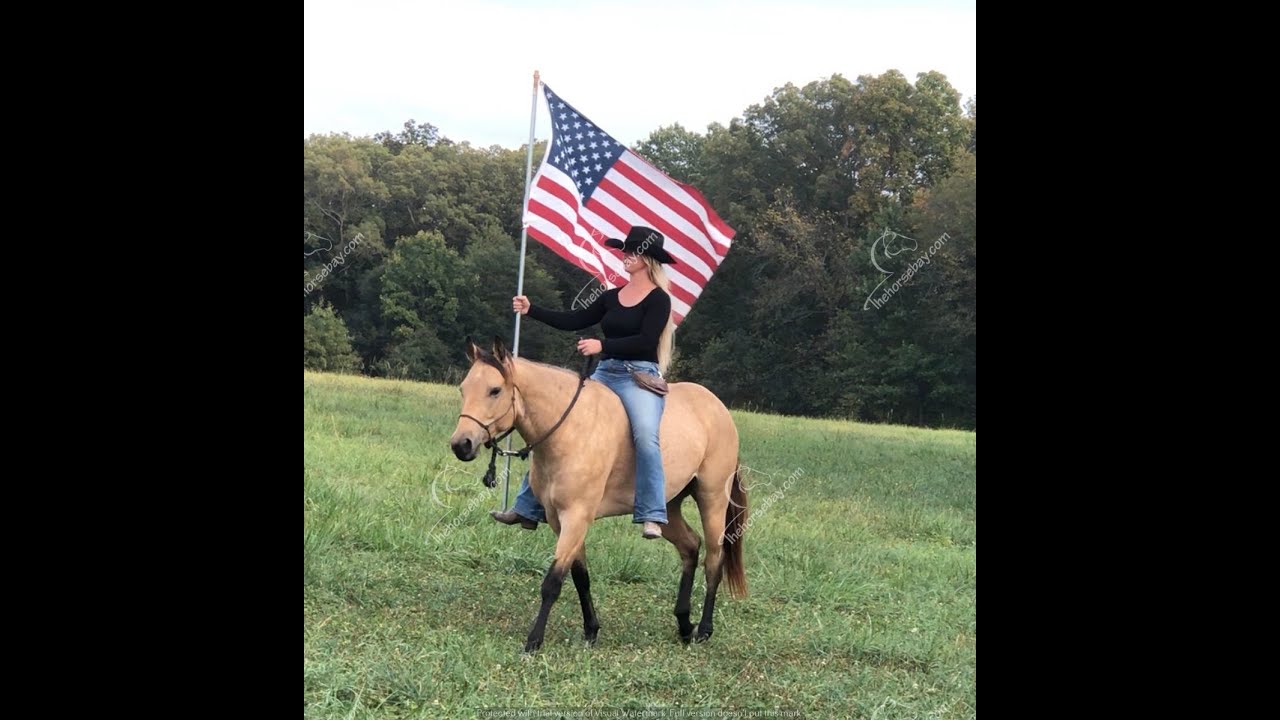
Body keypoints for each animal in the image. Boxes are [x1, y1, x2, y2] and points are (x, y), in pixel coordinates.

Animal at [449, 336, 748, 652]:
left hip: (712, 499)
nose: (461, 444)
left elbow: (553, 582)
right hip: (669, 506)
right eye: (463, 389)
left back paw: (704, 629)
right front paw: (591, 630)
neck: (570, 430)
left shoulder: (576, 517)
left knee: (714, 559)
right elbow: (580, 577)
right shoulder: (560, 521)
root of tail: (718, 408)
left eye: (495, 390)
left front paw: (533, 641)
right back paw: (683, 623)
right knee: (690, 546)